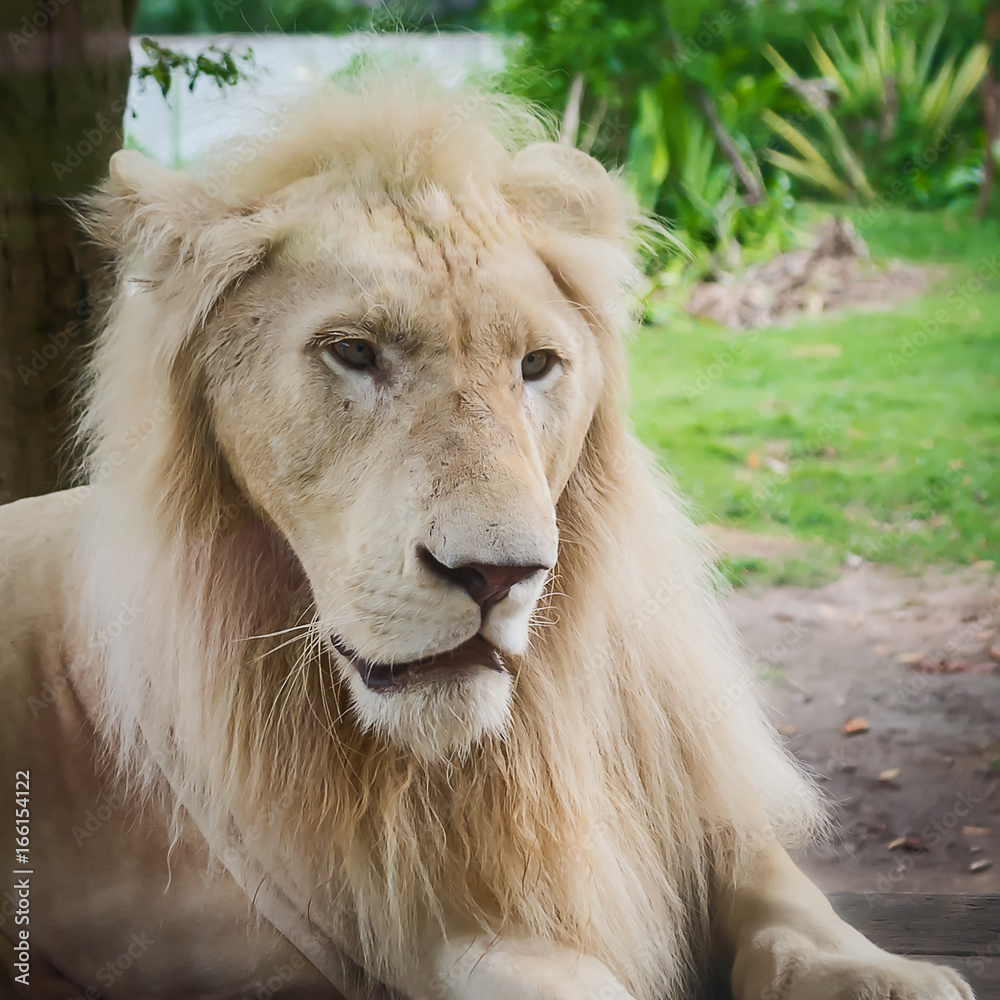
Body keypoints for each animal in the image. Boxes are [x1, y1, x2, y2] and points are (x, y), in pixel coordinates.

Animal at [0, 76, 972, 1000]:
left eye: (536, 365)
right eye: (353, 352)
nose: (498, 575)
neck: (508, 738)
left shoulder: (698, 804)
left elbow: (794, 912)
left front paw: (890, 976)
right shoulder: (411, 932)